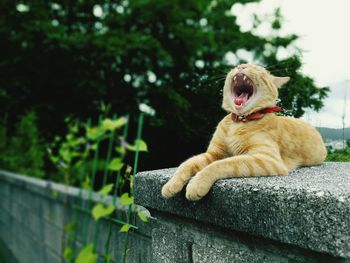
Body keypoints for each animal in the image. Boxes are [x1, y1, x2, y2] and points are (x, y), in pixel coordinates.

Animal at [163, 63, 326, 201]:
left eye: (258, 68)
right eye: (237, 66)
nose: (241, 66)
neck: (238, 122)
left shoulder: (266, 159)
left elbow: (221, 164)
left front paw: (197, 183)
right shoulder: (214, 153)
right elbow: (187, 163)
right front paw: (170, 185)